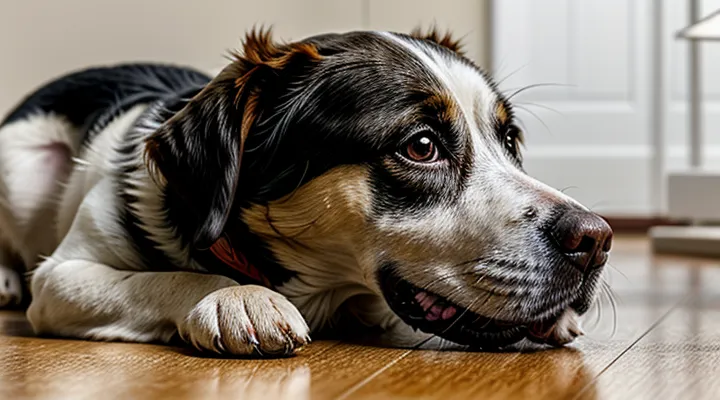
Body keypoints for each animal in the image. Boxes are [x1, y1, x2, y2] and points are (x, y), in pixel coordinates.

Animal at [0, 28, 612, 356]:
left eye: (509, 140)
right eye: (421, 146)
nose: (596, 240)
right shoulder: (61, 278)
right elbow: (160, 278)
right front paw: (238, 297)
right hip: (22, 164)